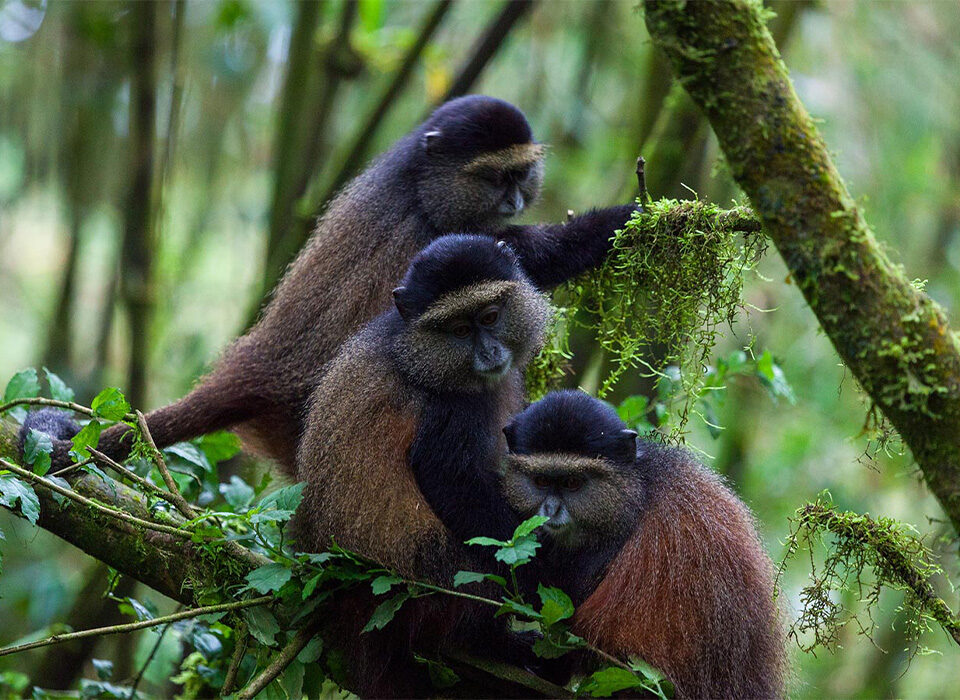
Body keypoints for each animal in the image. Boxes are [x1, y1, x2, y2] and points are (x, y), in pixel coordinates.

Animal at [24, 95, 637, 474]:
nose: (513, 199)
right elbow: (524, 257)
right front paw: (628, 220)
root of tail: (261, 366)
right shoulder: (438, 239)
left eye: (520, 174)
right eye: (494, 177)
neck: (418, 184)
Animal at [293, 233, 552, 696]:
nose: (490, 352)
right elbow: (453, 484)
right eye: (460, 330)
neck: (416, 351)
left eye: (490, 316)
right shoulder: (450, 413)